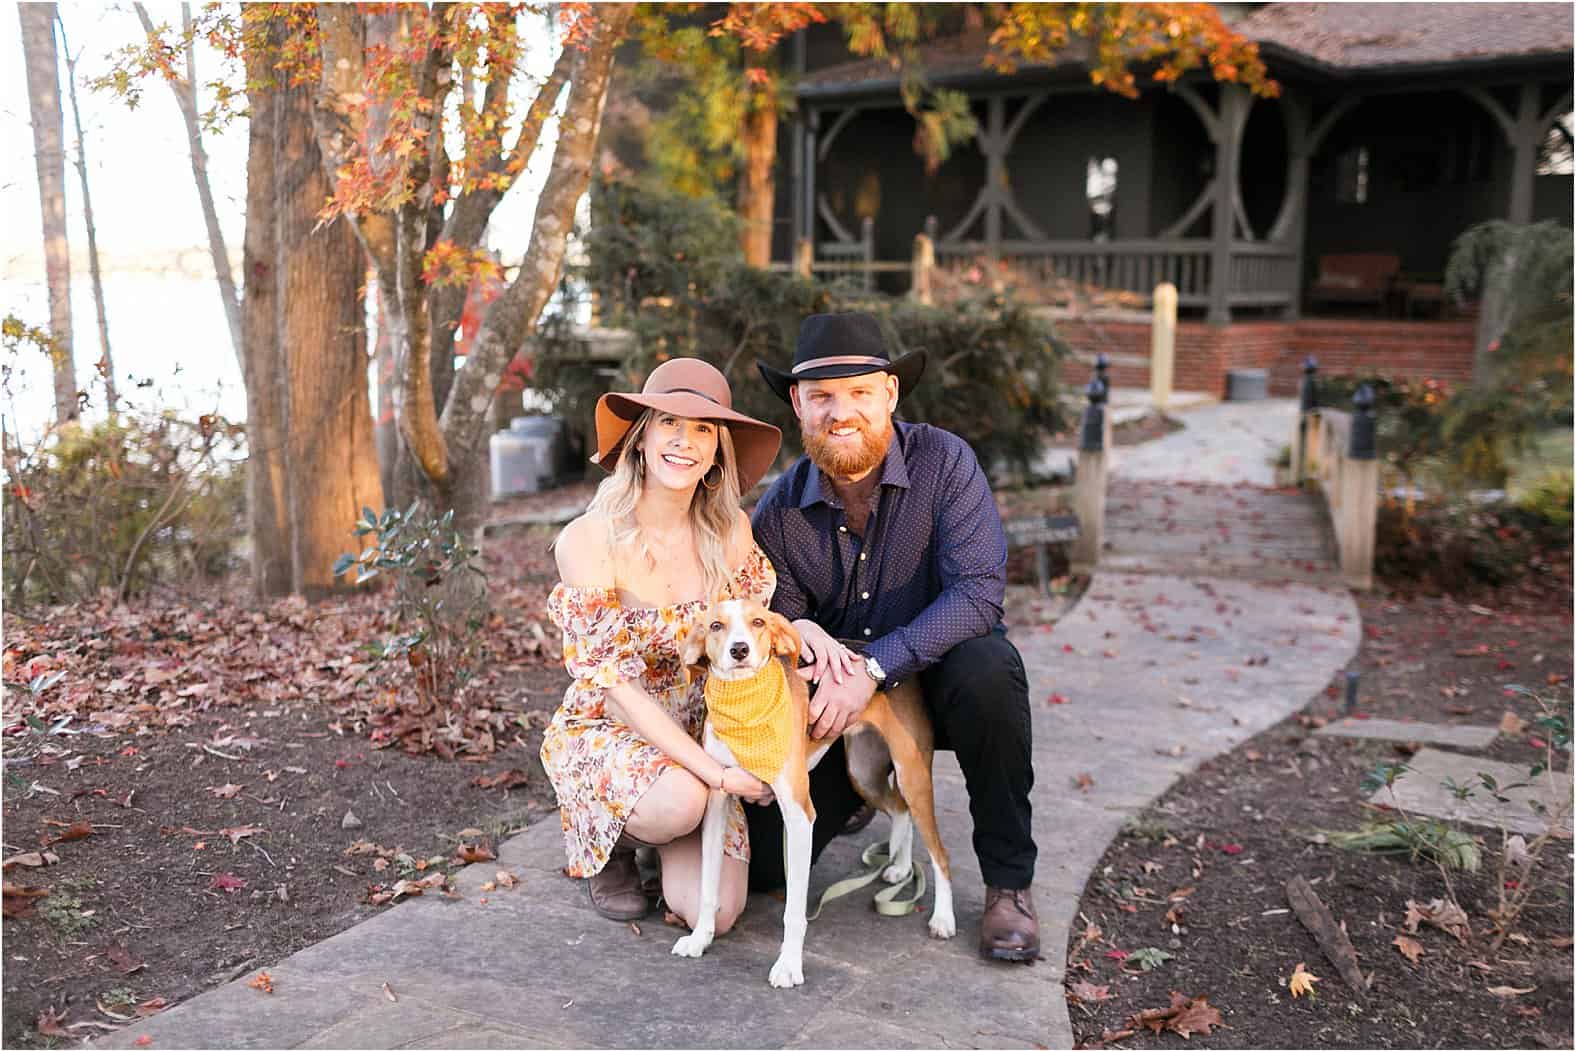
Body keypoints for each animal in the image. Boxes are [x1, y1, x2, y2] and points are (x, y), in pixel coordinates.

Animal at [671, 598, 951, 989]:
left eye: (758, 622)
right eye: (715, 626)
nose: (739, 650)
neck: (747, 706)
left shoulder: (800, 815)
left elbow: (793, 910)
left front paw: (788, 965)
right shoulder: (717, 803)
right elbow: (708, 888)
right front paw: (700, 938)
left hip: (912, 775)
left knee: (941, 854)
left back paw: (943, 918)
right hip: (863, 771)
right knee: (899, 809)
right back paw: (899, 867)